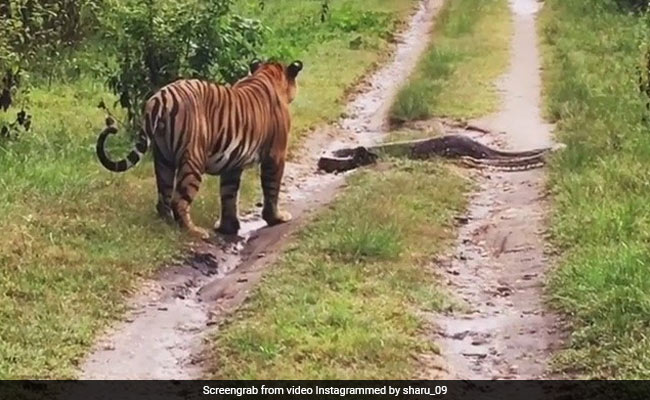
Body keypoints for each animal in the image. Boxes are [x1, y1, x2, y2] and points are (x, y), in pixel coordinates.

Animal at [96, 59, 303, 239]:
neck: (267, 74)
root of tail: (160, 99)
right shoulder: (275, 155)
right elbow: (271, 189)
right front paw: (276, 218)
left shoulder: (233, 163)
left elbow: (228, 194)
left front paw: (228, 227)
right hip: (193, 159)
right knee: (179, 201)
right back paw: (194, 231)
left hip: (163, 158)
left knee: (163, 197)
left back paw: (167, 224)